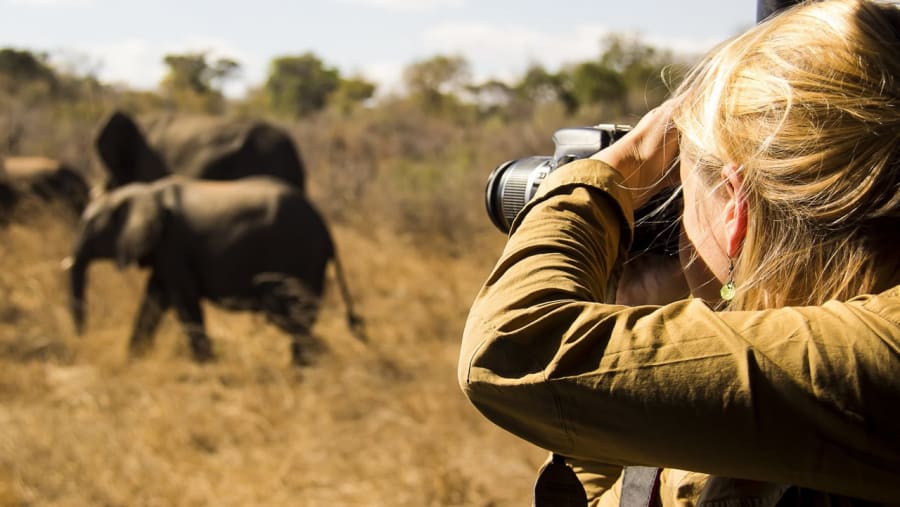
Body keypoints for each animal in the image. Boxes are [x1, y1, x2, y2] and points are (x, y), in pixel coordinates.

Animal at [65, 175, 364, 365]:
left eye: (89, 226)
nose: (82, 340)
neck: (144, 192)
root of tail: (325, 228)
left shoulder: (174, 246)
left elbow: (183, 302)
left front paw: (207, 366)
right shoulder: (164, 252)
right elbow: (154, 300)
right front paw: (132, 361)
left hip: (300, 255)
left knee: (291, 315)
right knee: (296, 318)